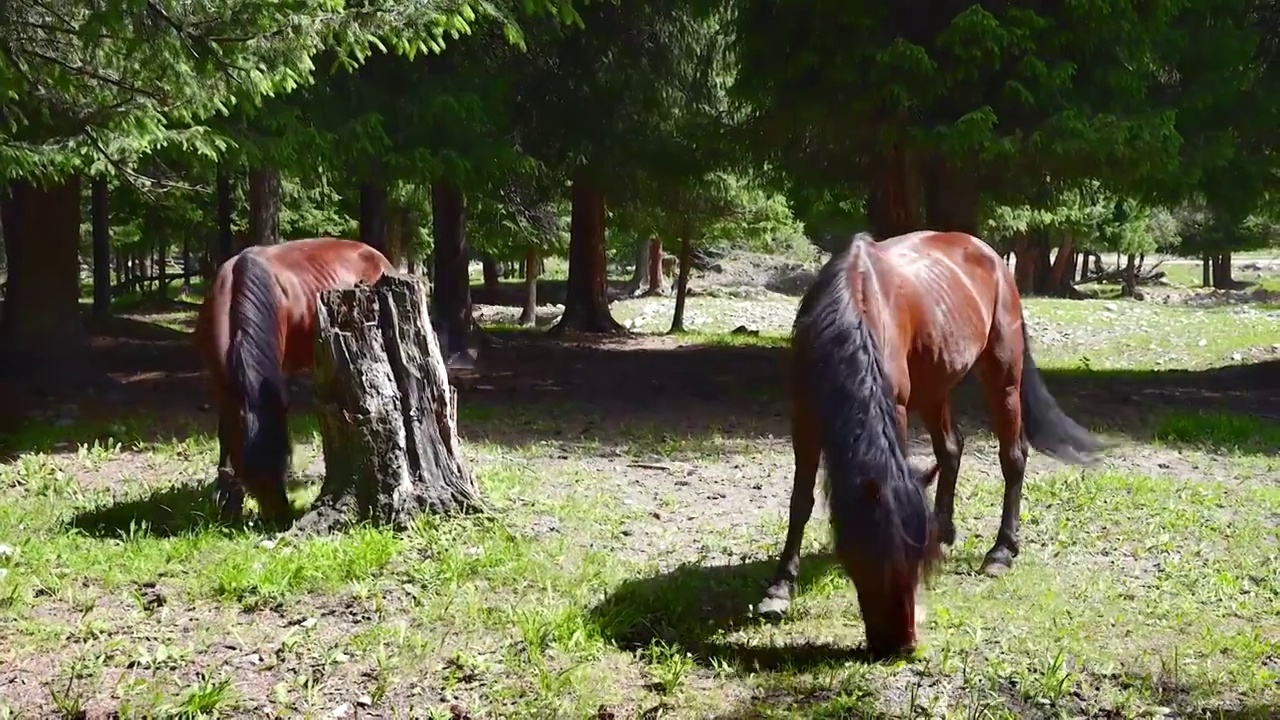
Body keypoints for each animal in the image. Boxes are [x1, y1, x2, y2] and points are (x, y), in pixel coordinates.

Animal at [192, 238, 391, 525]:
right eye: (251, 476)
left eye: (285, 462)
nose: (280, 517)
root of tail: (378, 256)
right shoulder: (221, 384)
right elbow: (226, 436)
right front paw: (228, 504)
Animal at [752, 230, 1105, 655]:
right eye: (868, 556)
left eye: (915, 564)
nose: (899, 645)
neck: (849, 310)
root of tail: (990, 255)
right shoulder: (804, 417)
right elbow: (800, 502)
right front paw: (778, 589)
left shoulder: (896, 410)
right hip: (937, 386)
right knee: (951, 450)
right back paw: (946, 530)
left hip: (1002, 375)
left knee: (1012, 457)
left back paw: (1001, 553)